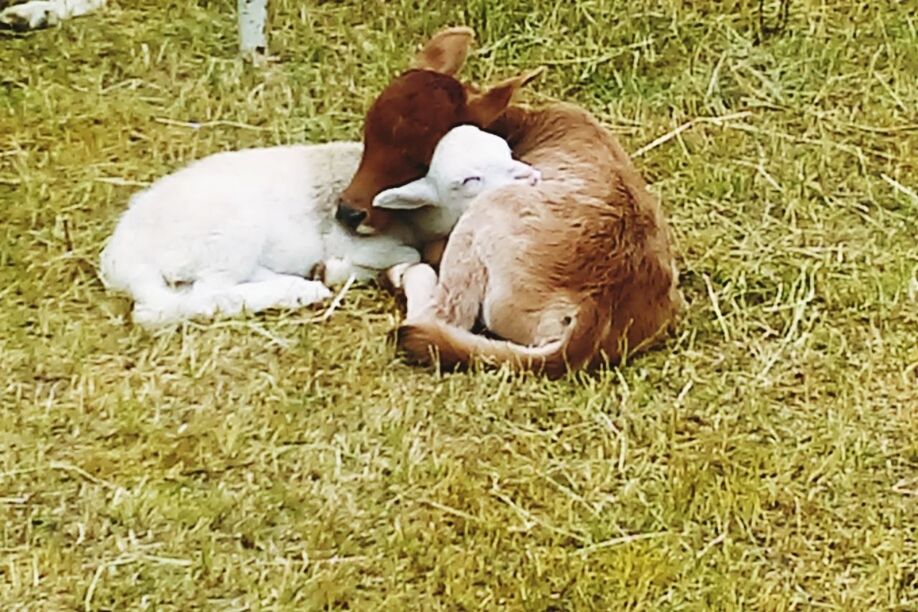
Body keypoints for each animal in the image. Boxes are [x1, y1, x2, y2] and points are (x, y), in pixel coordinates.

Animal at [99, 125, 540, 330]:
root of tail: (122, 259)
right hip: (226, 237)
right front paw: (343, 269)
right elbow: (406, 254)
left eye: (505, 150)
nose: (531, 178)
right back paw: (299, 291)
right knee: (200, 297)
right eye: (468, 180)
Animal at [338, 26, 684, 378]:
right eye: (368, 132)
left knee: (442, 316)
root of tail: (595, 308)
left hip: (485, 215)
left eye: (421, 160)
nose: (348, 212)